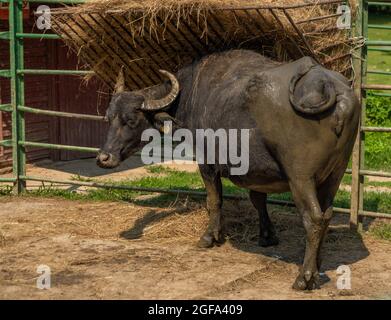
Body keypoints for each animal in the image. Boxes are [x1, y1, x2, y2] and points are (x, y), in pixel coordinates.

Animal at [96, 49, 360, 290]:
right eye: (109, 118)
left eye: (131, 121)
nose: (103, 158)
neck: (190, 94)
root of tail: (331, 87)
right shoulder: (257, 168)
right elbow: (258, 199)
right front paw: (267, 236)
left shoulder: (207, 162)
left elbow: (214, 201)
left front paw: (209, 237)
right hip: (334, 175)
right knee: (326, 214)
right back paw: (317, 264)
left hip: (301, 177)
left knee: (313, 218)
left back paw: (304, 277)